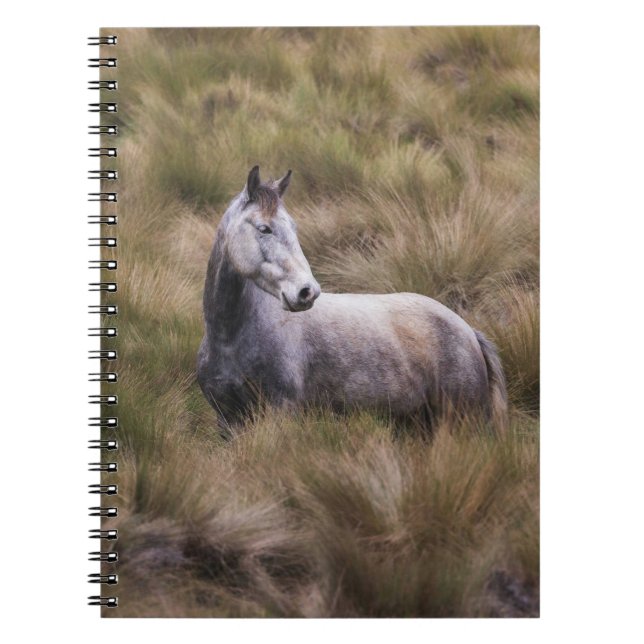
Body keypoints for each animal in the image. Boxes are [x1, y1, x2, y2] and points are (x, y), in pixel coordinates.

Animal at [197, 166, 508, 434]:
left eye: (294, 228)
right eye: (264, 228)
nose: (307, 291)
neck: (231, 338)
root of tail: (468, 331)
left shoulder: (280, 412)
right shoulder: (228, 420)